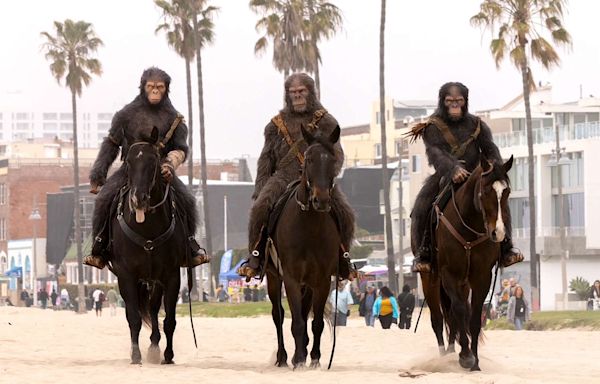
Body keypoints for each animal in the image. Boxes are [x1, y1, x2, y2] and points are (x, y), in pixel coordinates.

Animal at [109, 127, 186, 364]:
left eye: (153, 161)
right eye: (128, 162)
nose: (138, 199)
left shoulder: (171, 276)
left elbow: (169, 319)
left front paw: (168, 355)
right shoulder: (126, 275)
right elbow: (133, 318)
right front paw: (135, 355)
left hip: (155, 280)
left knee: (152, 309)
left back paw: (154, 347)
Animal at [268, 124, 342, 368]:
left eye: (332, 159)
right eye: (309, 159)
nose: (321, 200)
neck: (309, 227)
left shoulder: (322, 280)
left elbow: (316, 322)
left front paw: (315, 358)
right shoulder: (290, 277)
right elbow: (296, 321)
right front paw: (299, 358)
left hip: (307, 284)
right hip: (273, 277)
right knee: (278, 314)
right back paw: (283, 357)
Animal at [420, 154, 512, 370]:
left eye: (507, 191)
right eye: (485, 191)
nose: (498, 233)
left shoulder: (481, 277)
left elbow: (474, 317)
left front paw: (475, 361)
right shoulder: (449, 274)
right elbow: (460, 311)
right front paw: (466, 356)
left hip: (463, 284)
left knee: (452, 318)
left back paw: (451, 351)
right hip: (430, 280)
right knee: (438, 319)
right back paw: (444, 356)